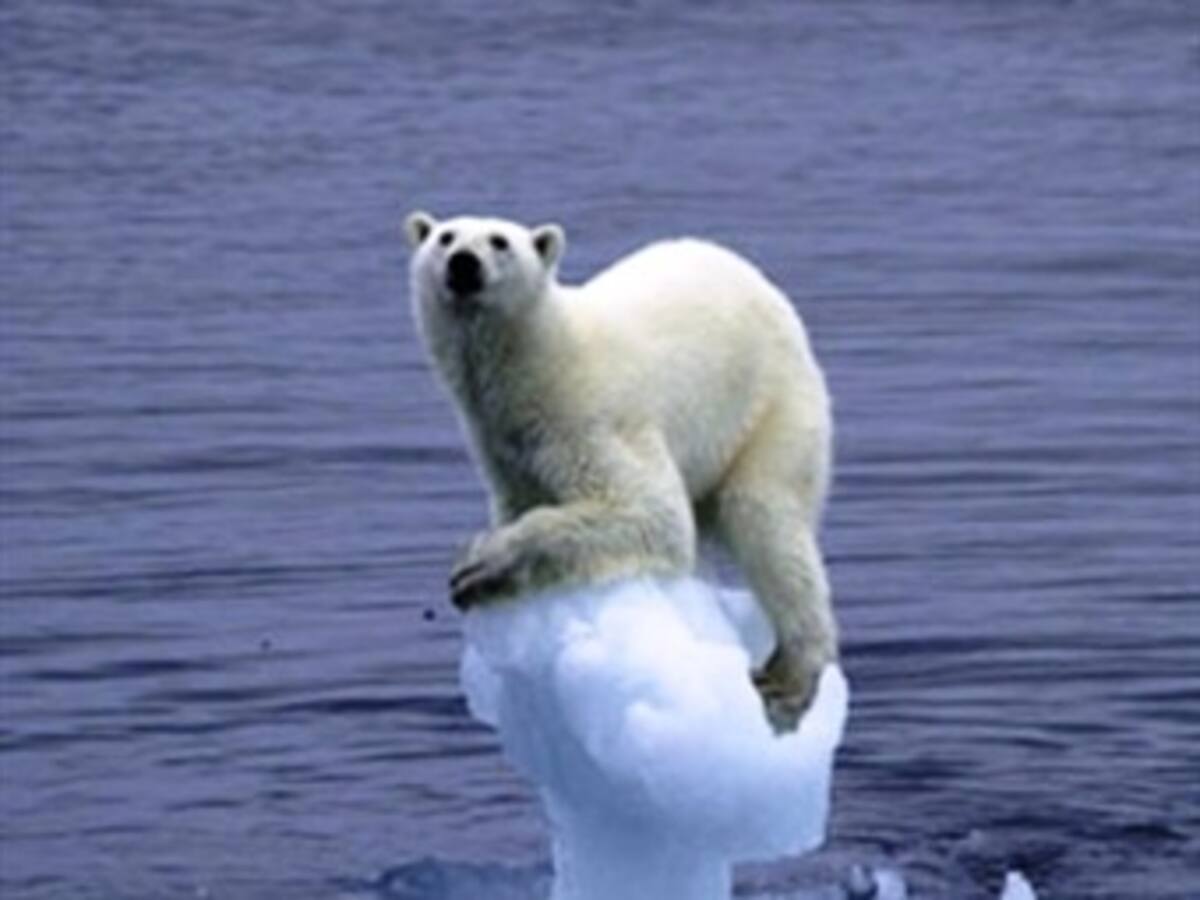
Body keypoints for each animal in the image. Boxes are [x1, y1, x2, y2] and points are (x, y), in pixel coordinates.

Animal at [404, 212, 837, 731]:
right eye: (445, 236)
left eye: (499, 241)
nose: (463, 263)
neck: (538, 362)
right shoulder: (504, 448)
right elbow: (525, 501)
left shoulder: (589, 419)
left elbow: (649, 512)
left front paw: (480, 564)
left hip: (770, 407)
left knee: (767, 522)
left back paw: (791, 677)